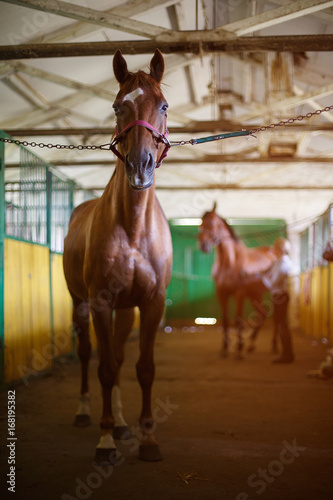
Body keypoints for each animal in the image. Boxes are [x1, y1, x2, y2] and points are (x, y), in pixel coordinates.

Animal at [62, 50, 172, 464]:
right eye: (116, 106)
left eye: (163, 105)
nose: (140, 167)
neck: (134, 227)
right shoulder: (100, 302)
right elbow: (106, 368)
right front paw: (105, 440)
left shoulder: (151, 303)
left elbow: (143, 368)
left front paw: (148, 438)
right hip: (80, 304)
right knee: (86, 354)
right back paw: (84, 413)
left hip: (126, 310)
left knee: (122, 358)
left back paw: (124, 423)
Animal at [198, 205, 276, 358]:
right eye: (200, 222)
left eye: (211, 223)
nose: (203, 245)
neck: (229, 263)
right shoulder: (221, 294)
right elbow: (225, 319)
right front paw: (225, 348)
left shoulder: (239, 294)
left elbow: (238, 319)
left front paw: (239, 349)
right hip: (255, 294)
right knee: (262, 314)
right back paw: (251, 344)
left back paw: (274, 346)